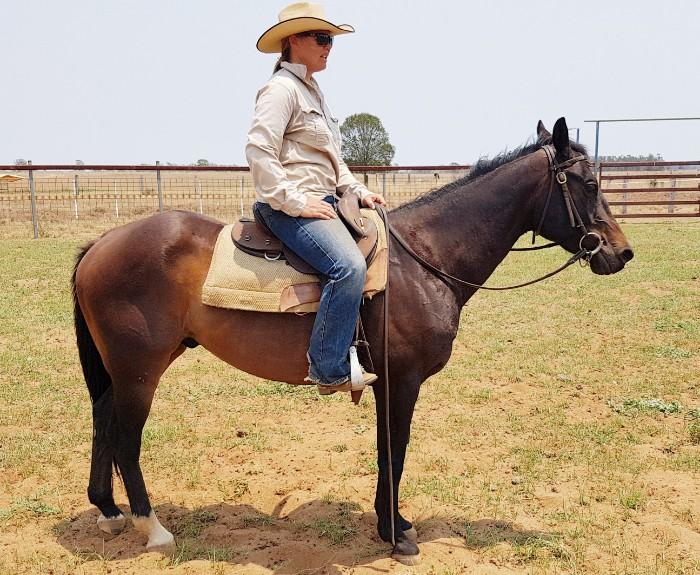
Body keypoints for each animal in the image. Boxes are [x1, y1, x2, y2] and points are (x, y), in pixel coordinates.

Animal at [72, 118, 633, 565]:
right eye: (588, 183)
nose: (622, 252)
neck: (423, 260)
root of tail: (101, 243)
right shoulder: (402, 380)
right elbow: (395, 451)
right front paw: (395, 533)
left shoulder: (389, 381)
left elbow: (389, 451)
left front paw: (393, 524)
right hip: (139, 371)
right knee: (126, 437)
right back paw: (152, 527)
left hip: (123, 371)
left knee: (102, 419)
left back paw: (108, 510)